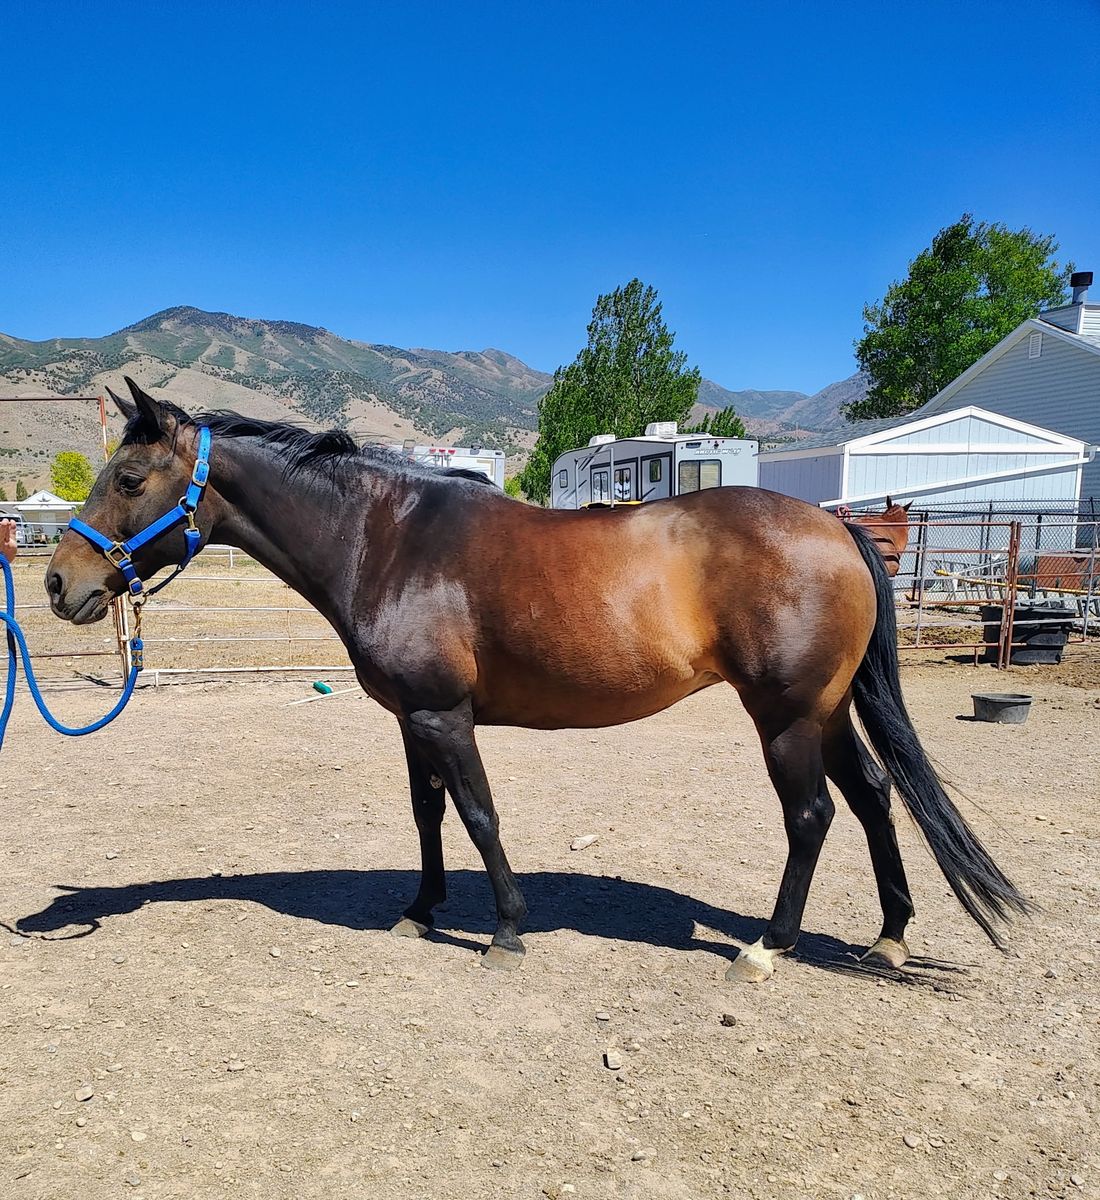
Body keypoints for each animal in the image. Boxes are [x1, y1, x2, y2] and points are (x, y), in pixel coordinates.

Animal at [45, 379, 1029, 982]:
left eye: (129, 477)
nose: (59, 583)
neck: (388, 540)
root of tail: (839, 531)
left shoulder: (446, 716)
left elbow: (479, 815)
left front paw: (506, 930)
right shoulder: (413, 719)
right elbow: (429, 815)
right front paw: (421, 910)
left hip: (785, 717)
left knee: (814, 815)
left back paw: (768, 947)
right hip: (824, 712)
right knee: (872, 797)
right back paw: (890, 936)